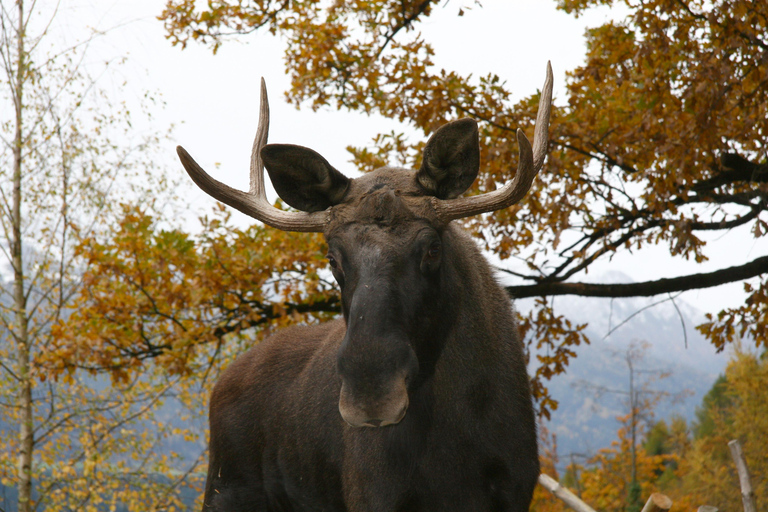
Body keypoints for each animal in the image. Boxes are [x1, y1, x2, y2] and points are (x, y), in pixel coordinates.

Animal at [176, 62, 552, 510]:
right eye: (332, 257)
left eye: (433, 248)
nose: (371, 392)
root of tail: (224, 381)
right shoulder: (373, 494)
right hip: (223, 490)